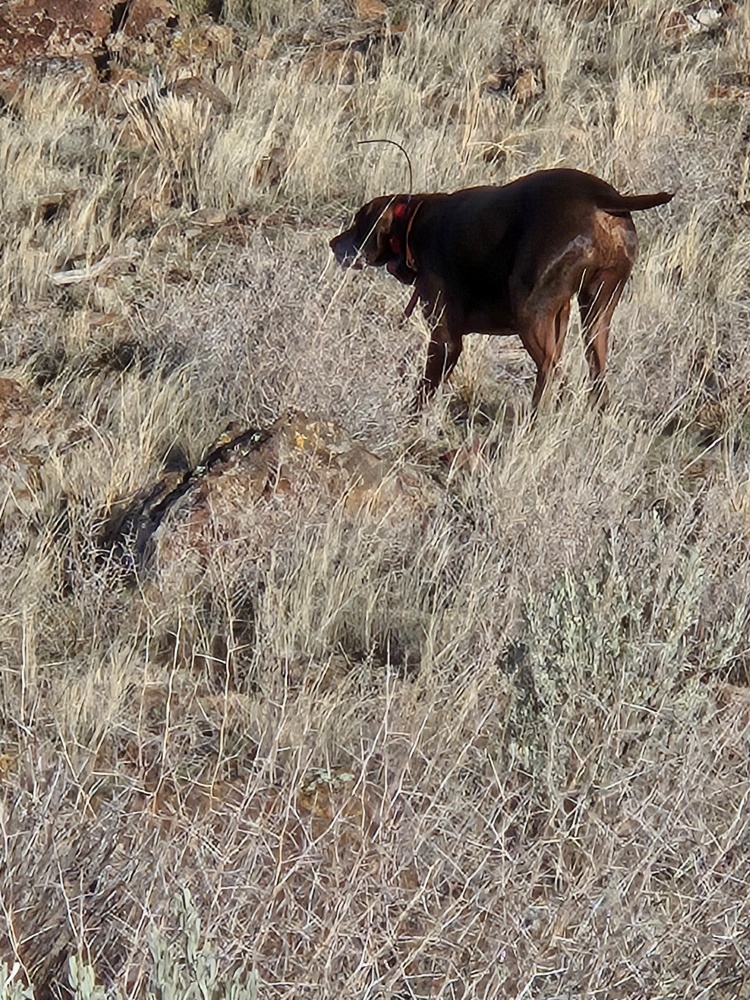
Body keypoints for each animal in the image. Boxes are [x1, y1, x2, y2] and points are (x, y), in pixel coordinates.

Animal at [330, 168, 673, 409]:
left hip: (530, 313)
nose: (333, 243)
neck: (417, 222)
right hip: (596, 310)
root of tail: (602, 196)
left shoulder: (445, 339)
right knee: (594, 373)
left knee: (552, 374)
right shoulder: (560, 316)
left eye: (359, 221)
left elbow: (425, 389)